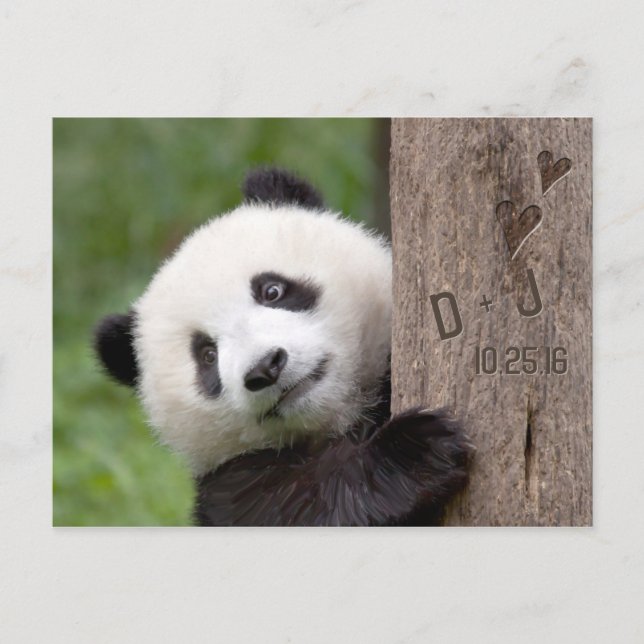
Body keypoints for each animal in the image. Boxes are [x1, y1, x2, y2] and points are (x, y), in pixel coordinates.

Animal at [95, 167, 471, 526]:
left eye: (272, 290)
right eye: (207, 356)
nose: (265, 367)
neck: (343, 416)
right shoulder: (235, 485)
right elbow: (303, 504)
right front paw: (416, 450)